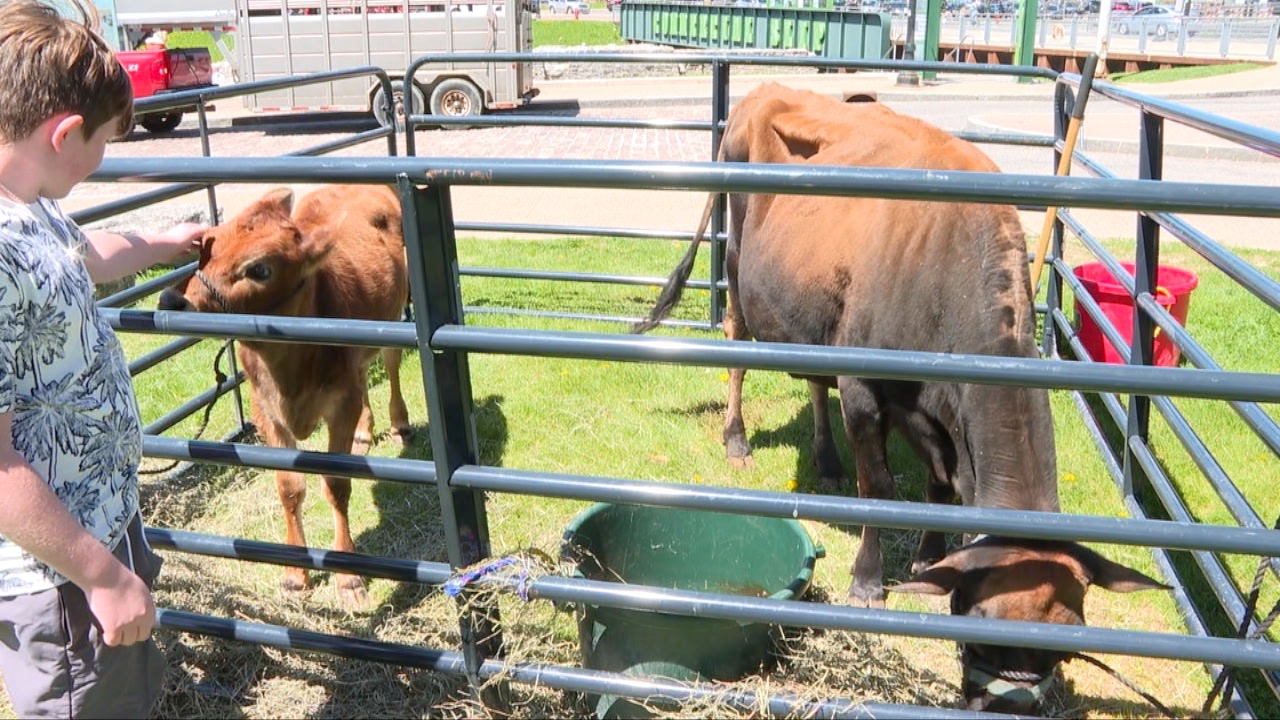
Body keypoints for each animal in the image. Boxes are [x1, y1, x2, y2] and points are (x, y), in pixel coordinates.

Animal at [158, 184, 411, 609]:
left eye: (260, 269)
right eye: (206, 246)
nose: (171, 301)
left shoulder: (340, 405)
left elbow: (336, 485)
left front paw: (348, 578)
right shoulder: (266, 412)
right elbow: (290, 488)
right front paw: (295, 573)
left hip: (393, 318)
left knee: (391, 364)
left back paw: (398, 423)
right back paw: (365, 432)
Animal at [632, 84, 1166, 713]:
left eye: (1069, 637)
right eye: (978, 623)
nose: (1007, 704)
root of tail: (766, 91)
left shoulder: (934, 411)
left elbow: (938, 492)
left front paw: (928, 557)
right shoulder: (866, 391)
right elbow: (880, 489)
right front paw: (868, 581)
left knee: (814, 381)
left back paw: (826, 460)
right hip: (739, 263)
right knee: (737, 346)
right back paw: (737, 440)